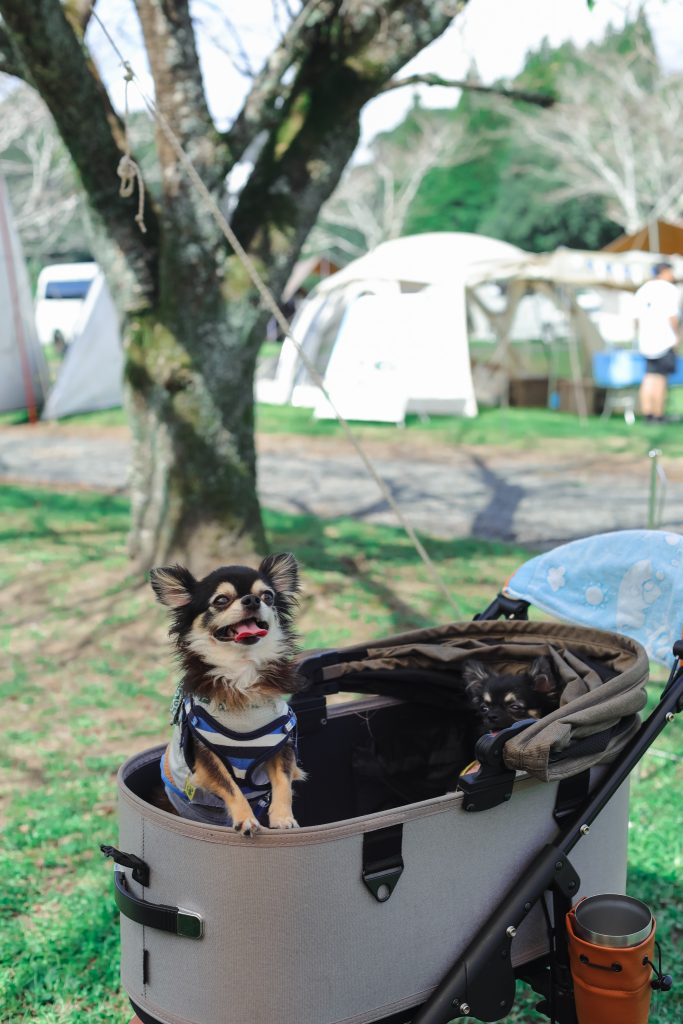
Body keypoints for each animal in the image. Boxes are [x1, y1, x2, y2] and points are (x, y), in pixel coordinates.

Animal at [151, 553, 306, 836]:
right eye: (221, 600)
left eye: (268, 596)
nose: (253, 599)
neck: (241, 671)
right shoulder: (205, 757)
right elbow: (231, 787)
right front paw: (246, 819)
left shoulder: (280, 745)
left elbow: (283, 781)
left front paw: (283, 818)